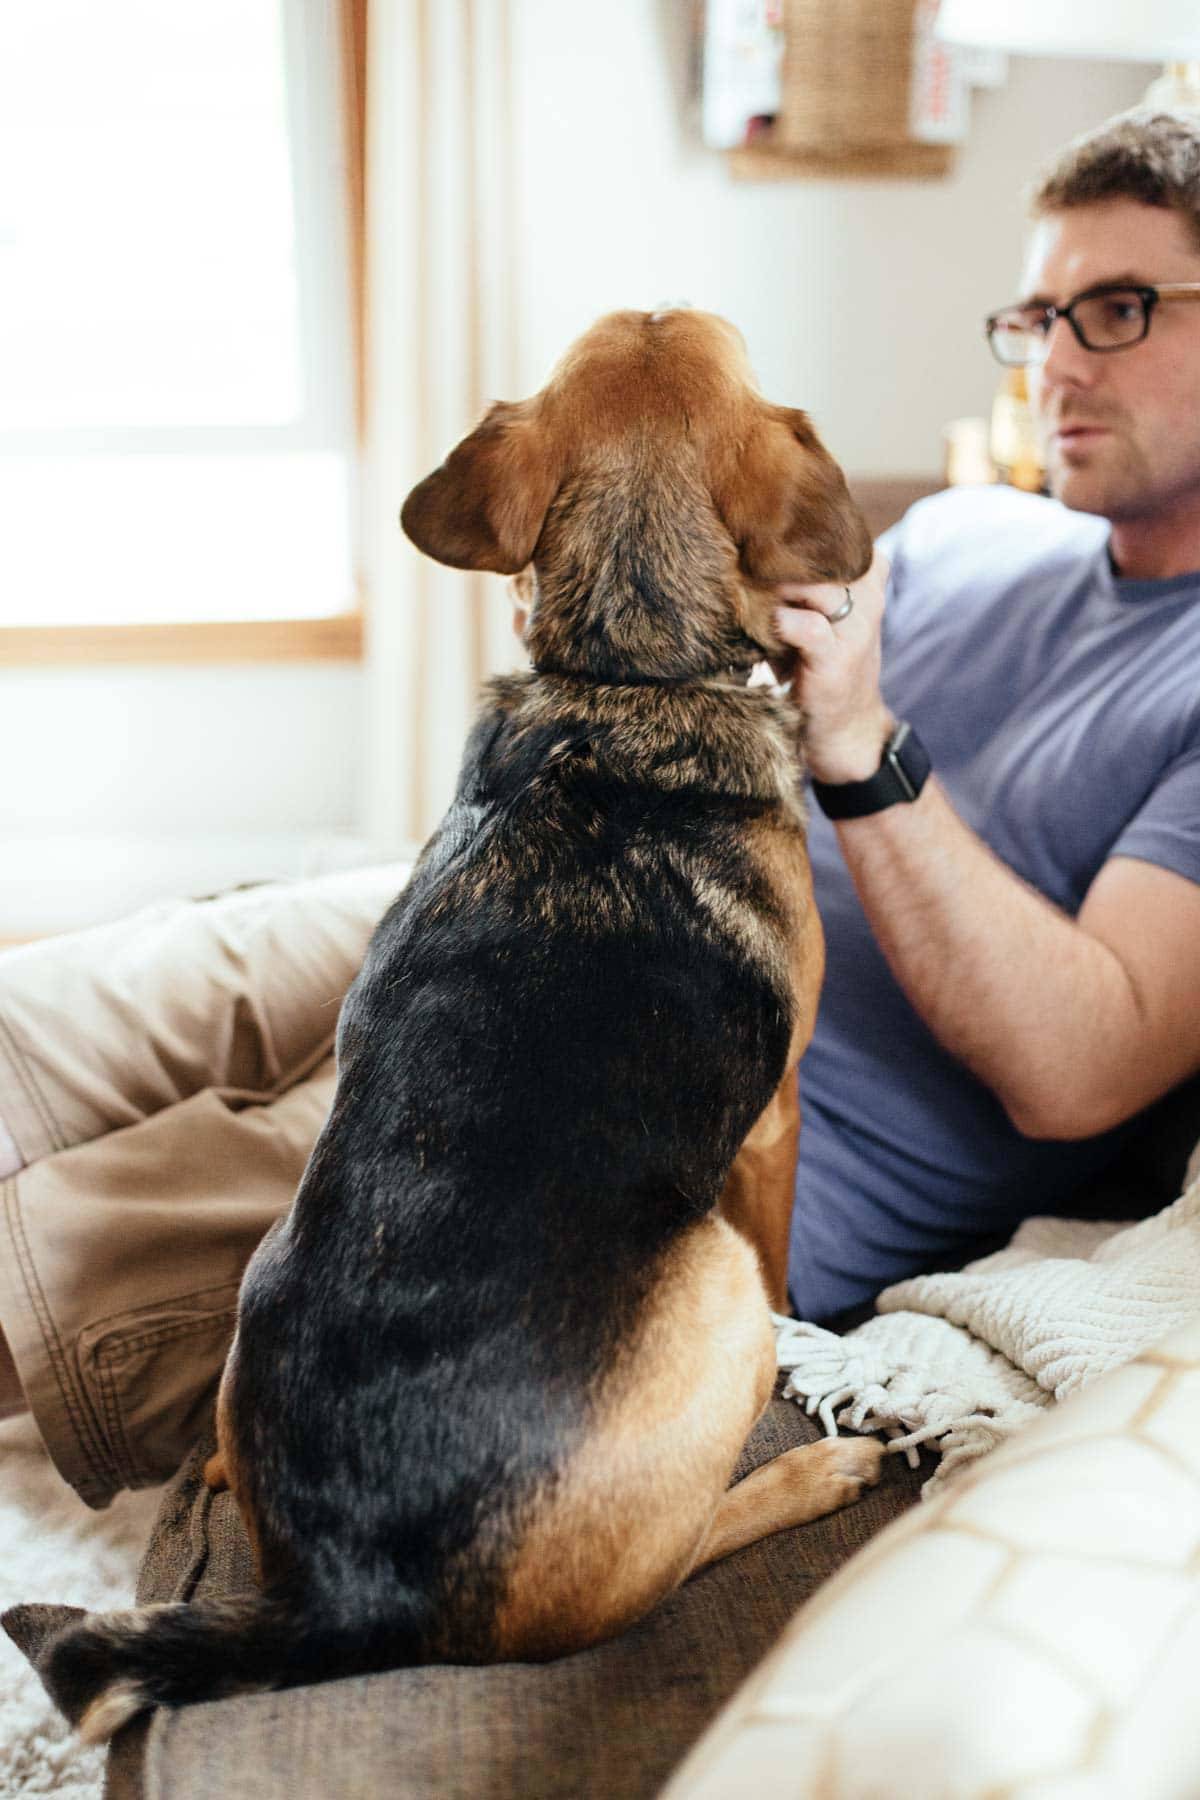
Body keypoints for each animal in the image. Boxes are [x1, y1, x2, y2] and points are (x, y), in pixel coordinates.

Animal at [14, 309, 881, 1742]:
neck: (618, 676)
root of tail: (347, 1596)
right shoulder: (775, 1127)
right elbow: (795, 1257)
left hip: (260, 1281)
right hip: (712, 1285)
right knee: (667, 1558)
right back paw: (812, 1479)